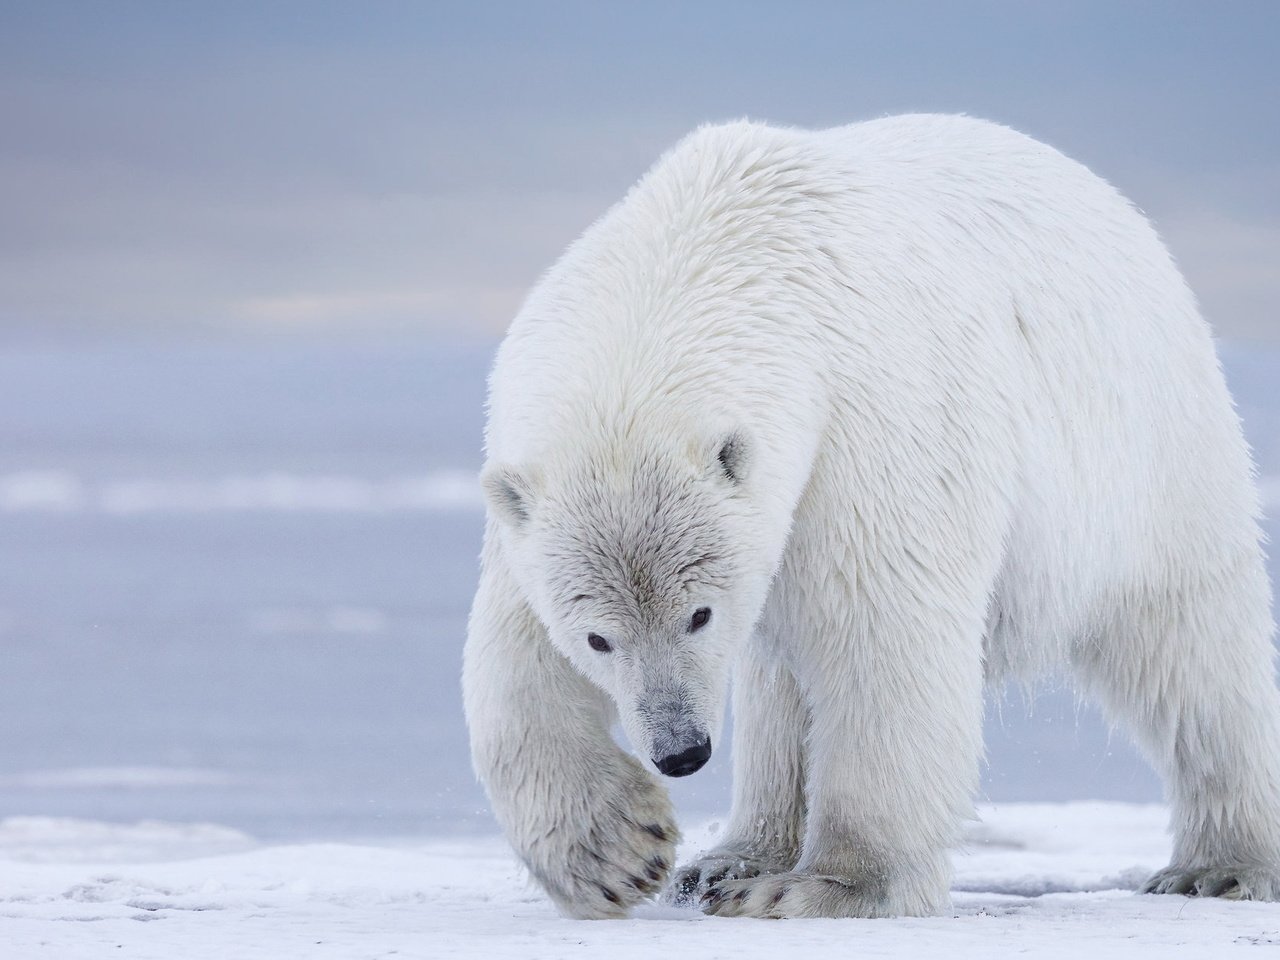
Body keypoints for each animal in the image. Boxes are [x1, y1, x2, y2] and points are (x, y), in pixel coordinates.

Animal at [465, 116, 1280, 921]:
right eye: (598, 638)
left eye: (698, 615)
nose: (681, 751)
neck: (709, 249)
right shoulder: (526, 500)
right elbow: (515, 659)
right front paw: (617, 852)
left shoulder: (869, 420)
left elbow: (883, 628)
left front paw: (827, 886)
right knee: (775, 687)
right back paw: (728, 859)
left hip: (1147, 456)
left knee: (1193, 649)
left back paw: (1222, 865)